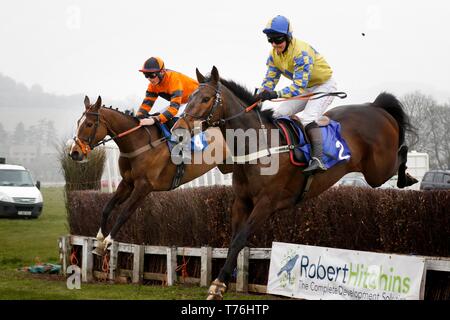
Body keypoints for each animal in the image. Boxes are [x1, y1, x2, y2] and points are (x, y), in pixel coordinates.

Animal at [70, 95, 232, 255]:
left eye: (89, 124)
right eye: (78, 122)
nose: (74, 152)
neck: (139, 143)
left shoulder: (144, 186)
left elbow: (125, 213)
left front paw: (108, 240)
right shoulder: (127, 183)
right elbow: (107, 207)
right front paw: (99, 240)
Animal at [173, 65, 418, 300]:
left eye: (205, 98)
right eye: (189, 97)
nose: (179, 129)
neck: (259, 147)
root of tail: (375, 106)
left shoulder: (266, 203)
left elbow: (240, 239)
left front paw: (217, 286)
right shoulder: (241, 201)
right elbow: (233, 241)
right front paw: (222, 281)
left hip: (378, 171)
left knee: (403, 151)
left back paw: (407, 177)